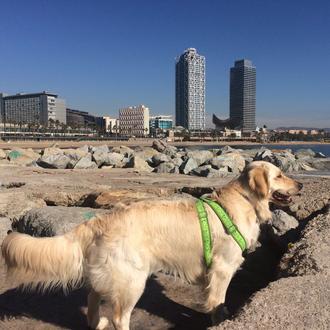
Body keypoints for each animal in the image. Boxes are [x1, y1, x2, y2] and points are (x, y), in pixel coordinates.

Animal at [1, 162, 302, 330]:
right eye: (279, 175)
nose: (299, 184)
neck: (245, 201)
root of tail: (99, 220)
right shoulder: (222, 268)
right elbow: (218, 302)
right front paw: (222, 321)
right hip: (132, 280)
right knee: (119, 317)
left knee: (92, 297)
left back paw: (97, 323)